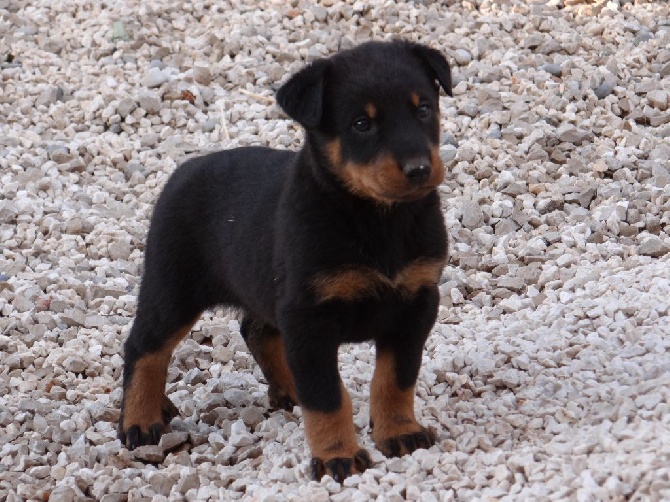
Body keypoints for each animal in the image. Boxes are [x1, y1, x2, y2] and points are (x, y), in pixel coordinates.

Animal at [119, 40, 456, 482]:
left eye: (424, 109)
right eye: (361, 124)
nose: (419, 169)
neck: (377, 220)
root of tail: (184, 169)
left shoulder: (416, 303)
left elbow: (395, 379)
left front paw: (400, 432)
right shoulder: (308, 316)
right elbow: (327, 397)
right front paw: (337, 457)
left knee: (256, 330)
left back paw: (288, 387)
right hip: (172, 289)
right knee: (144, 346)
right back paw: (140, 421)